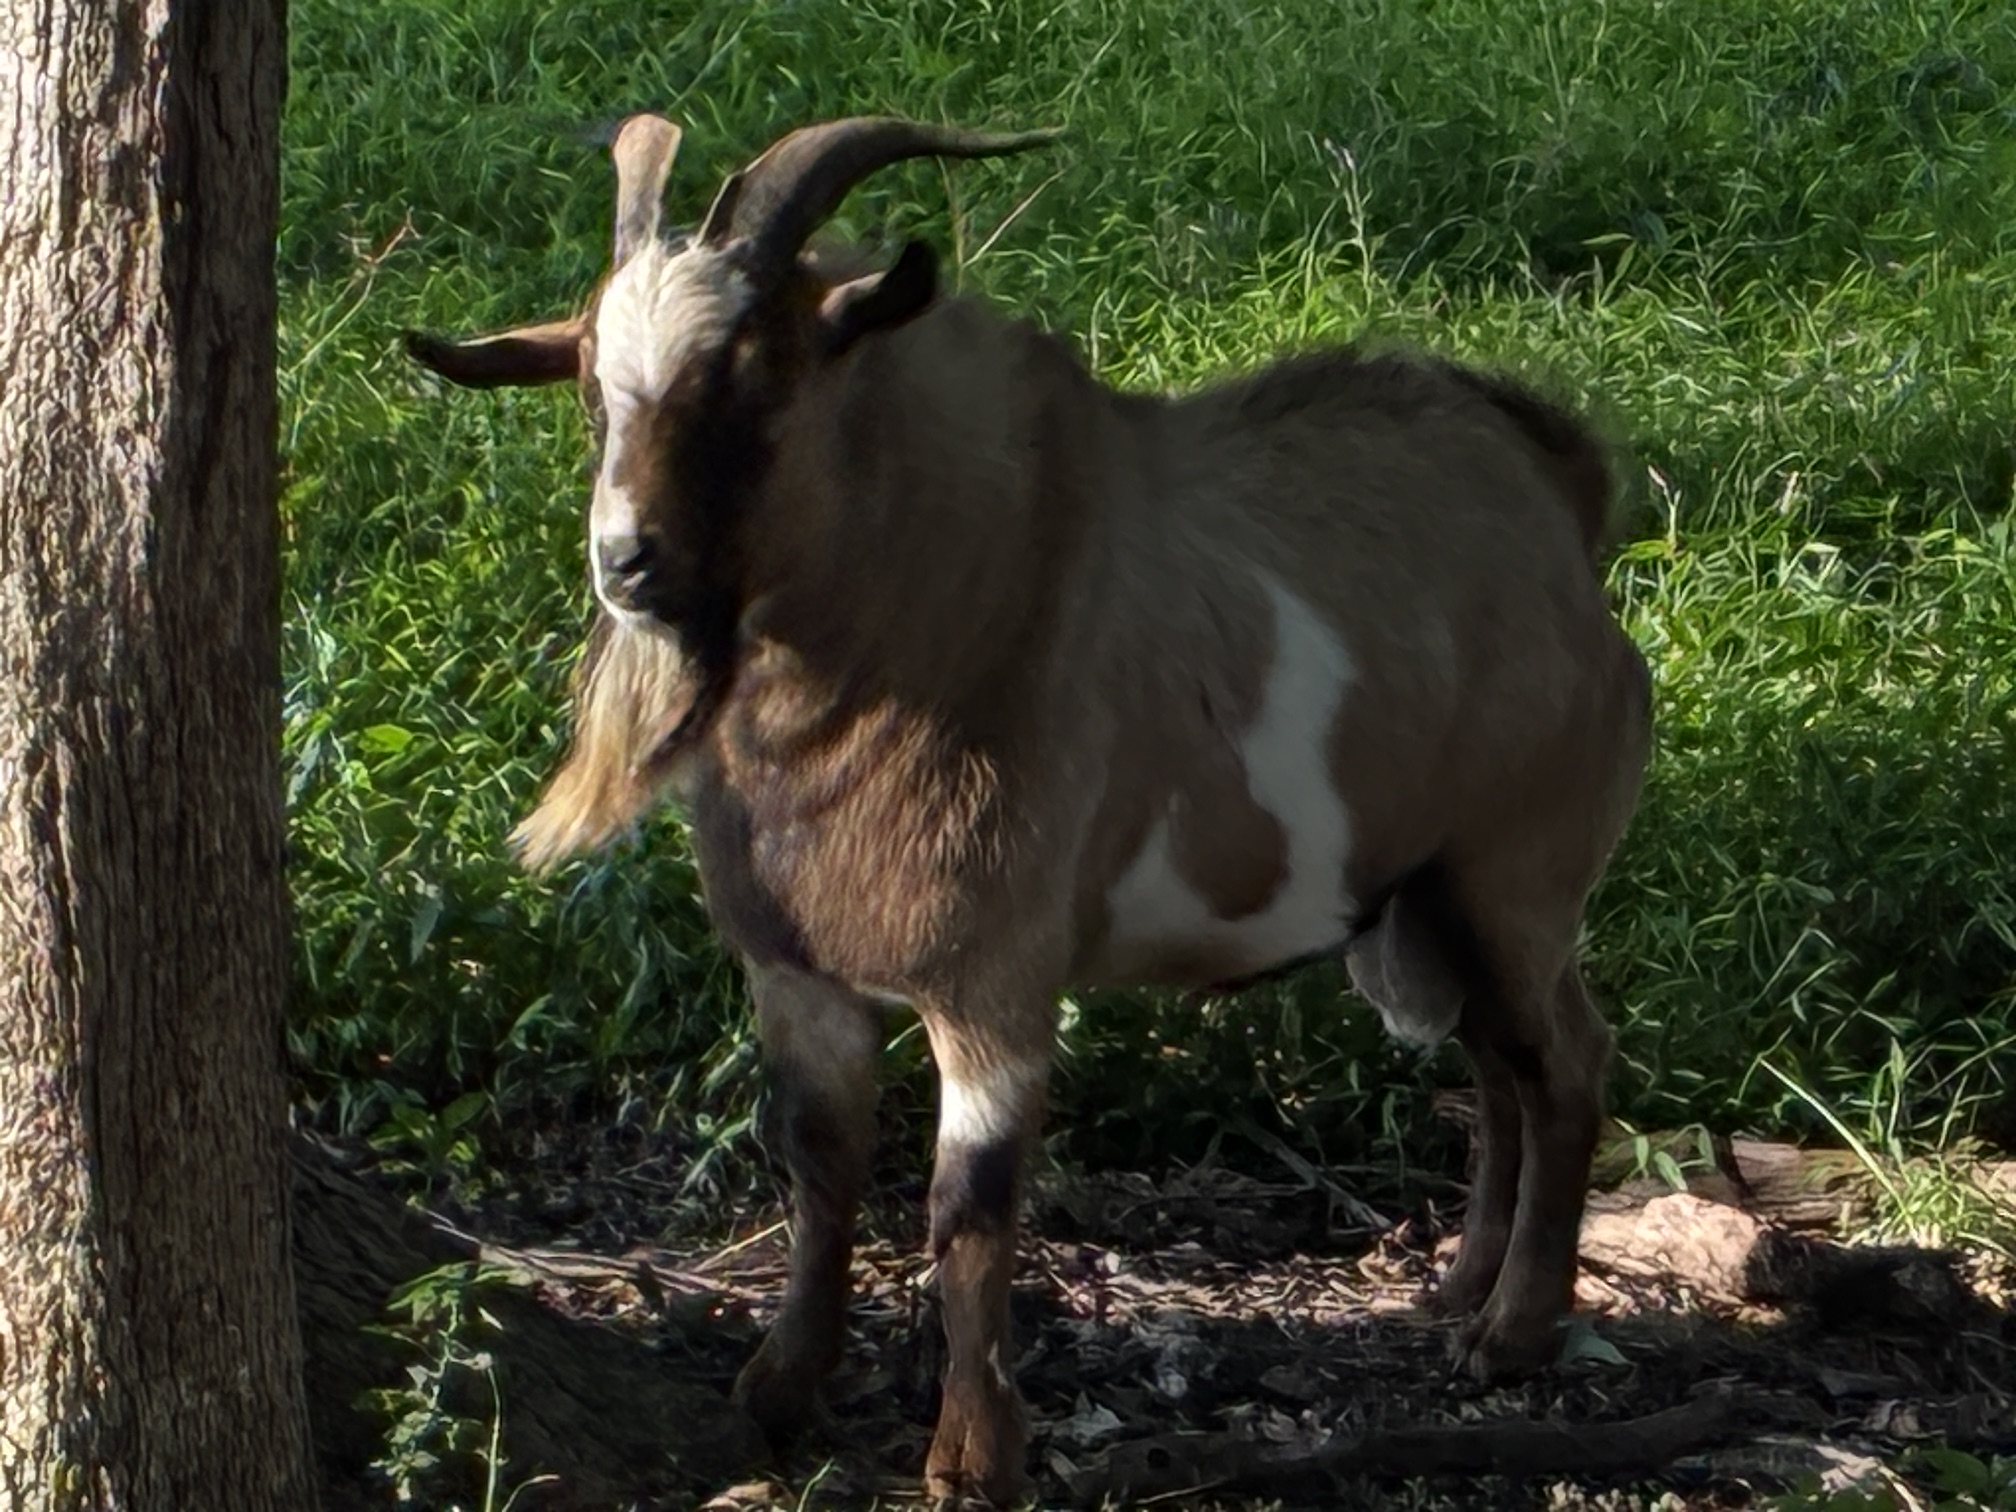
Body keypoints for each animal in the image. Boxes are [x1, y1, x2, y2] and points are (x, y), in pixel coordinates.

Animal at [407, 113, 1654, 1504]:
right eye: (590, 386)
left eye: (755, 373)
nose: (625, 561)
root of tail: (1566, 497)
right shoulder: (800, 972)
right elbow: (819, 1165)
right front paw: (780, 1388)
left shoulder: (992, 981)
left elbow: (970, 1209)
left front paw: (971, 1455)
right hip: (1427, 894)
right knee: (1500, 1072)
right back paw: (1455, 1294)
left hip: (1514, 873)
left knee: (1566, 1064)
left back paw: (1513, 1334)